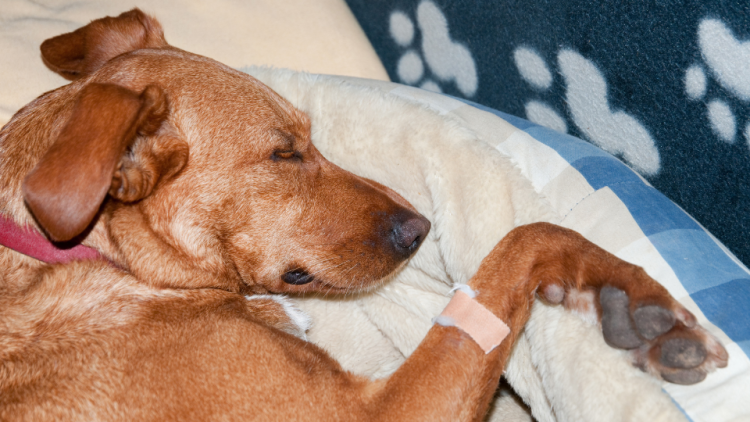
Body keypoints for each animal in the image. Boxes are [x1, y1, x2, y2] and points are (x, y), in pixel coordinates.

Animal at [0, 9, 728, 422]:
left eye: (309, 137)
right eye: (284, 153)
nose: (420, 228)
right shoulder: (377, 412)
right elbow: (525, 240)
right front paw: (643, 300)